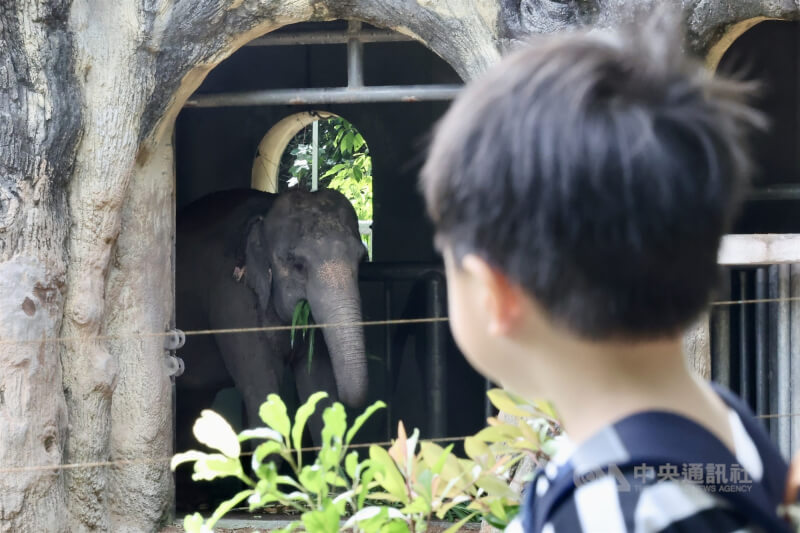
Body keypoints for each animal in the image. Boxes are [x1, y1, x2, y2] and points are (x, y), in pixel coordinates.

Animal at [174, 188, 368, 457]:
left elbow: (319, 387)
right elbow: (262, 392)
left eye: (362, 260)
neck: (264, 215)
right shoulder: (234, 299)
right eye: (298, 265)